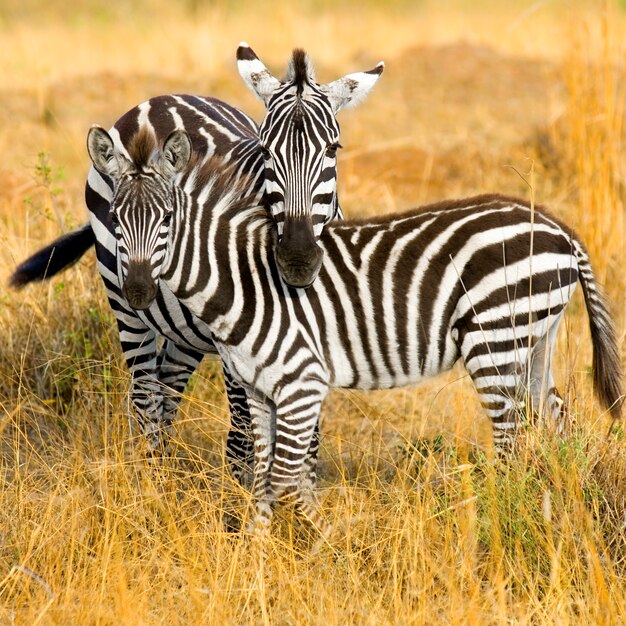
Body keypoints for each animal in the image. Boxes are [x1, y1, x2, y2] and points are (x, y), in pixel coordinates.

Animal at [9, 45, 380, 482]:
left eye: (333, 149)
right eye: (266, 151)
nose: (298, 258)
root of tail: (160, 99)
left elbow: (306, 433)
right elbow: (244, 437)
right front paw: (242, 499)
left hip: (184, 329)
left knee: (167, 386)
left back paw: (168, 475)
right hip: (125, 301)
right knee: (145, 394)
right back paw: (157, 483)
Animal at [85, 125, 620, 536]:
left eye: (167, 219)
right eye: (114, 219)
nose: (138, 292)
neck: (242, 279)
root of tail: (557, 228)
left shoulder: (303, 382)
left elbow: (284, 478)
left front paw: (326, 542)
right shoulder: (259, 389)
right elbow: (264, 476)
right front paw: (255, 554)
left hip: (494, 341)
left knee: (511, 440)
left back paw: (504, 517)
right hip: (535, 340)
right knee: (556, 418)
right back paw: (561, 502)